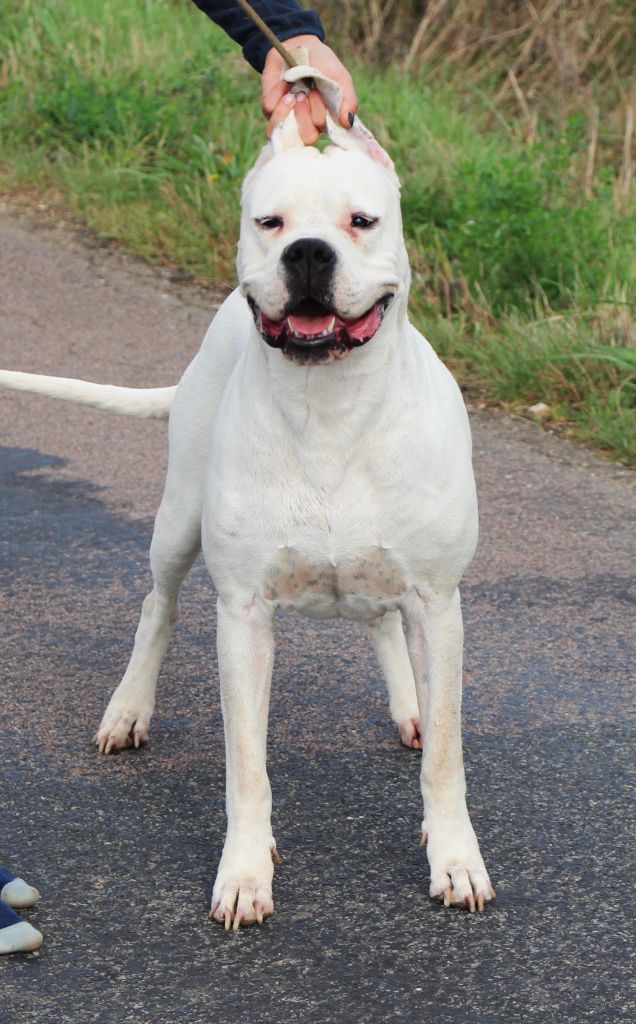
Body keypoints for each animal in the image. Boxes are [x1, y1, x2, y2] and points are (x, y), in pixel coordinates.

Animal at [0, 72, 493, 929]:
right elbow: (247, 766)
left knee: (385, 627)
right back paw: (128, 710)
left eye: (362, 221)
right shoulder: (244, 616)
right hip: (176, 526)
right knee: (157, 608)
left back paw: (410, 705)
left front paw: (455, 858)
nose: (308, 252)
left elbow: (445, 756)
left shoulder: (438, 602)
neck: (329, 405)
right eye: (271, 223)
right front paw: (244, 872)